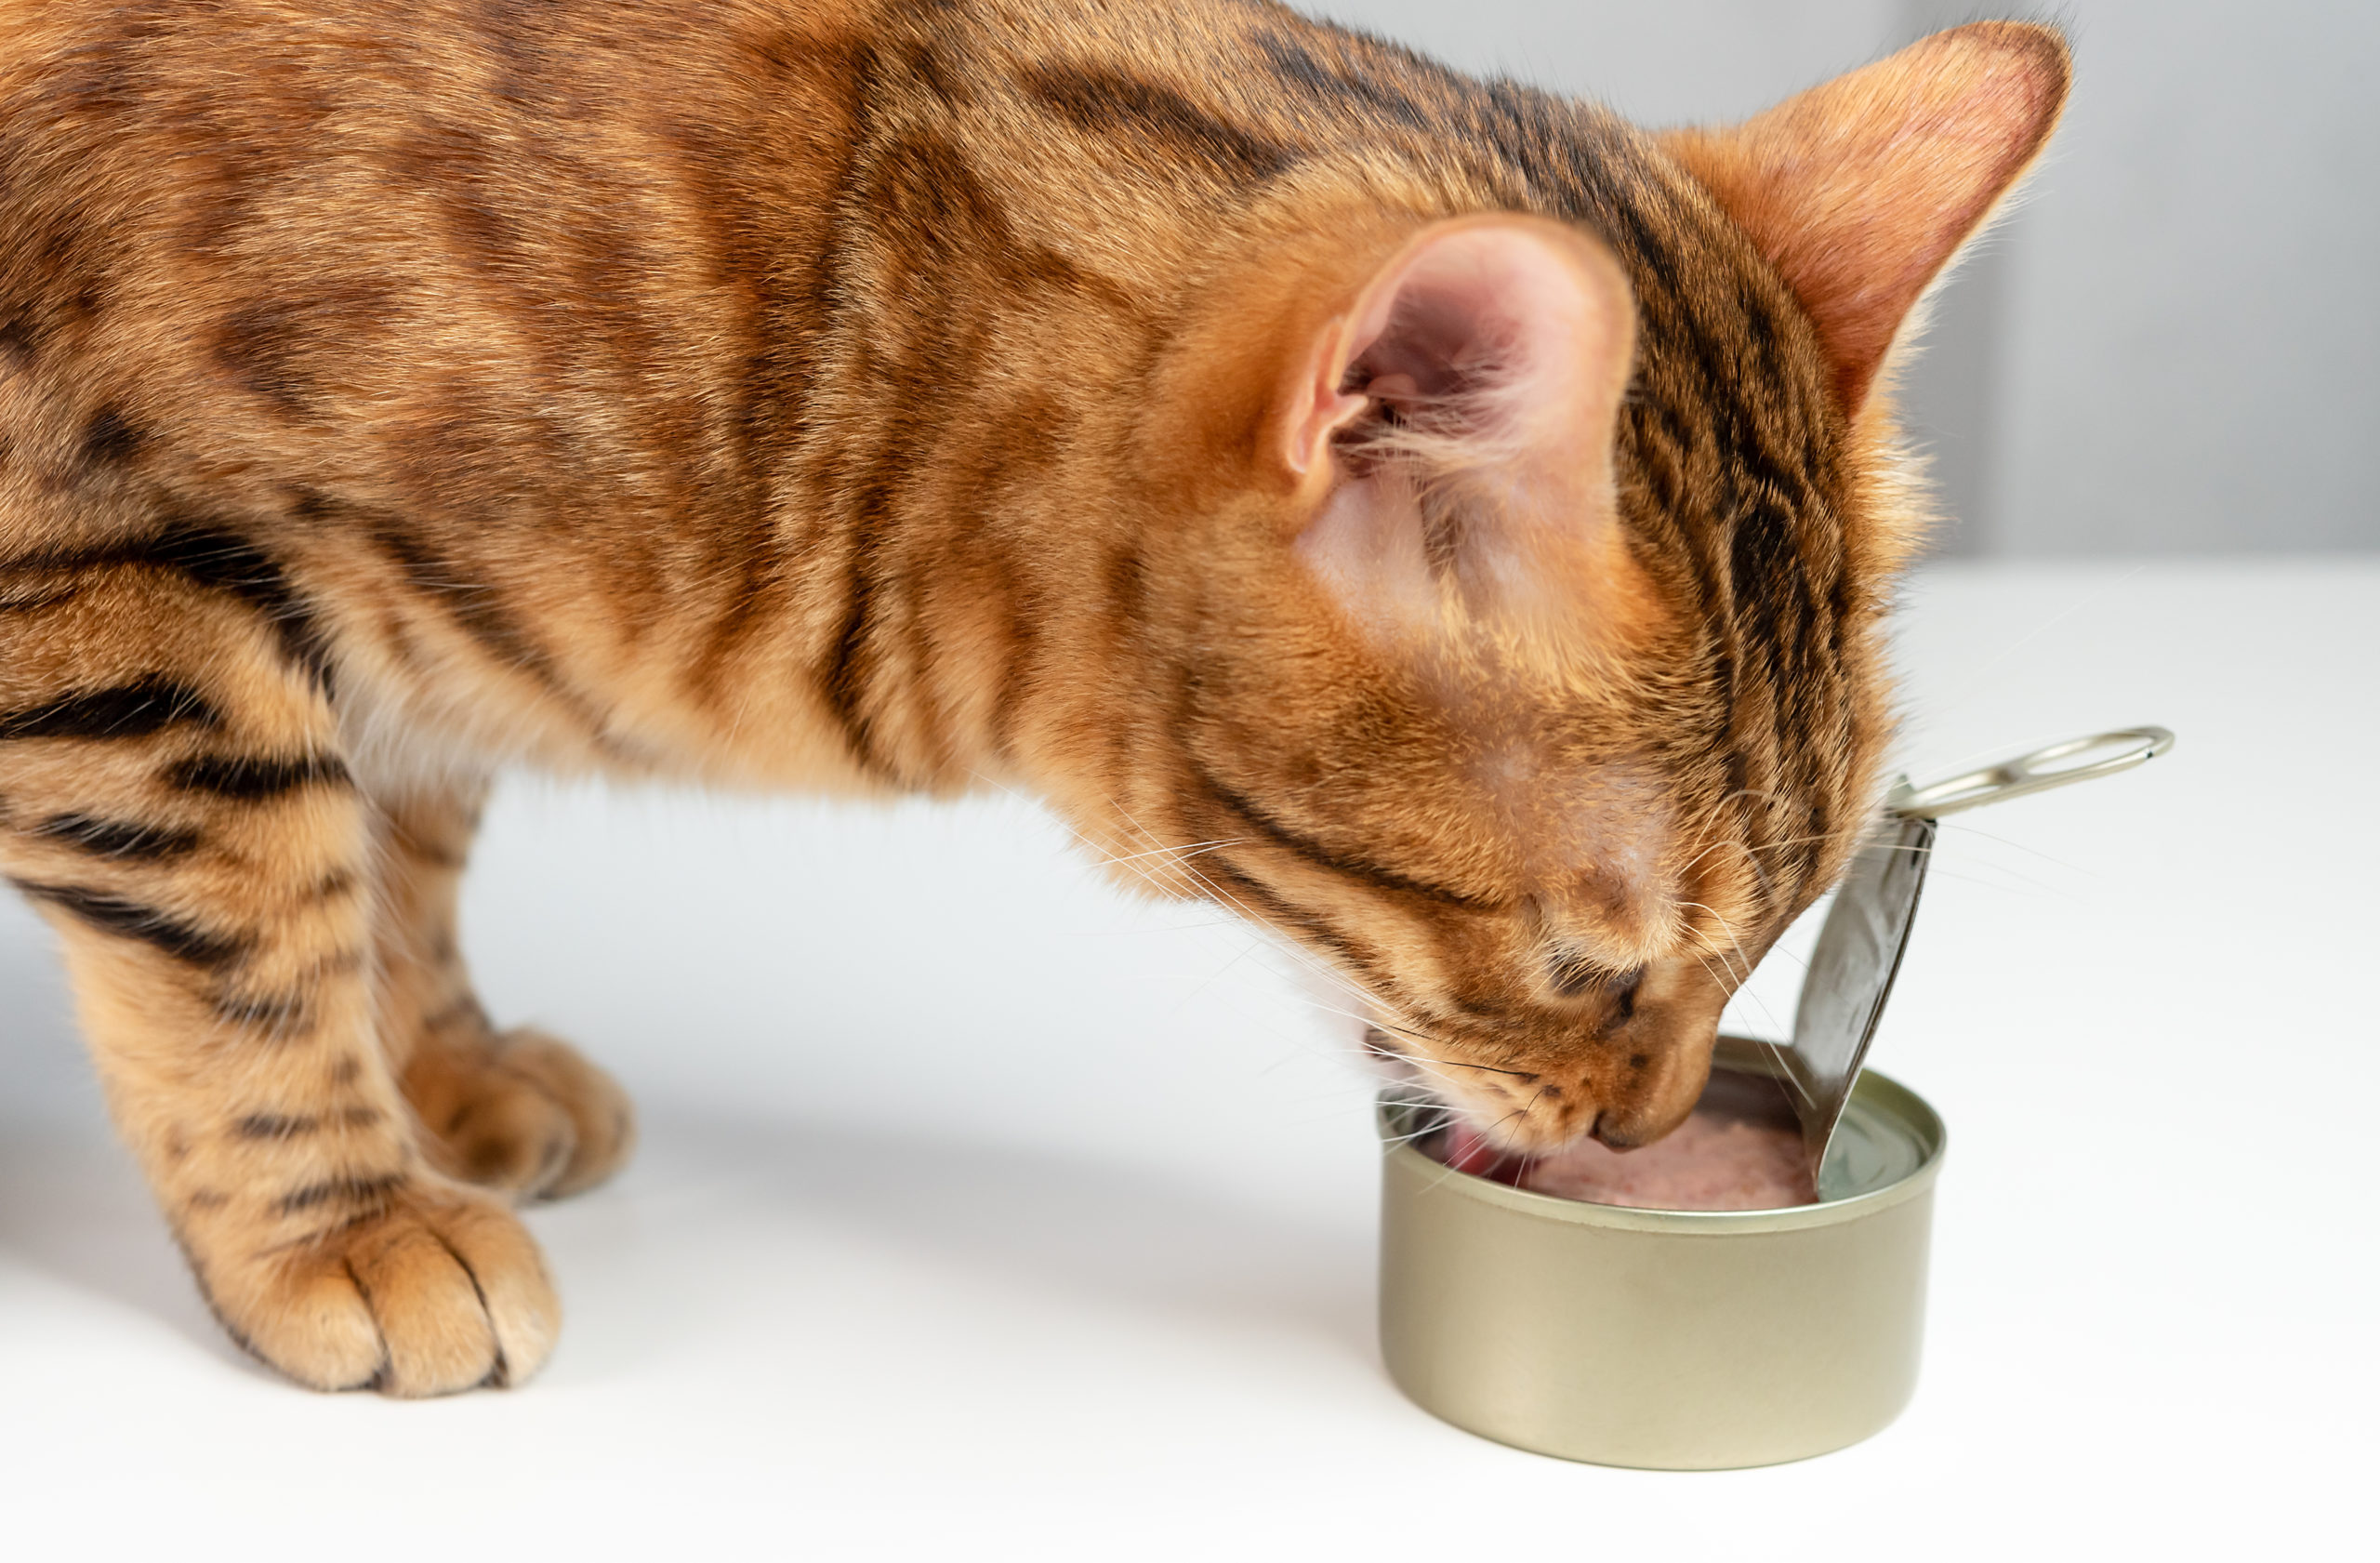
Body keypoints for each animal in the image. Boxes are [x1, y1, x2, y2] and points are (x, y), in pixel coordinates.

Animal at [0, 0, 2066, 1389]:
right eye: (1595, 965)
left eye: (1780, 930)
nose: (1647, 1134)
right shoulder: (110, 582)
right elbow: (250, 922)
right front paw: (342, 1214)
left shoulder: (396, 640)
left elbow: (407, 842)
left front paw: (442, 1055)